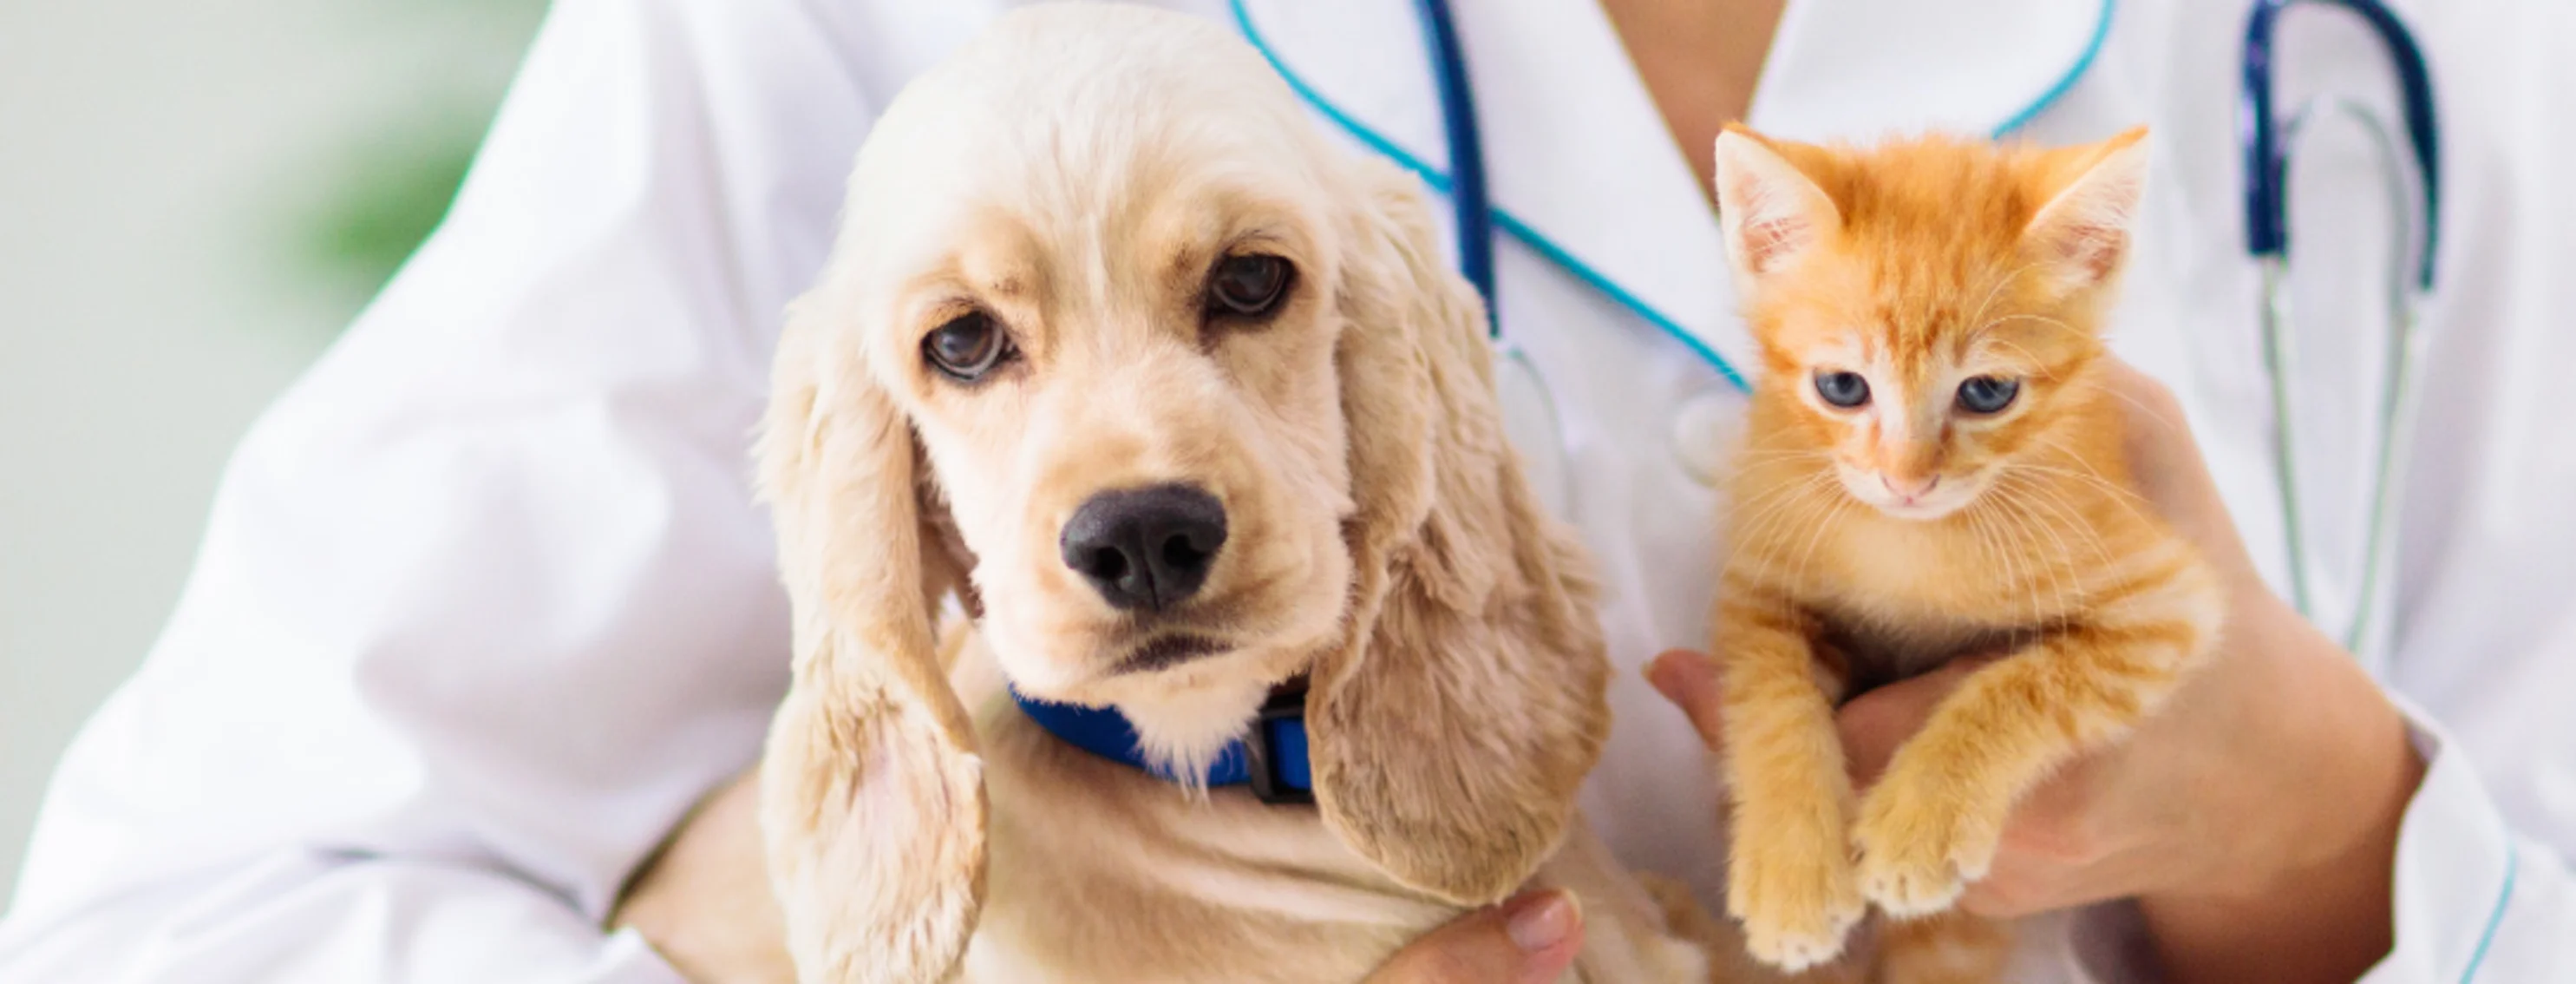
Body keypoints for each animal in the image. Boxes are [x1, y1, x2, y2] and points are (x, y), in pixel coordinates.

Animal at [1700, 122, 2226, 979]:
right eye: (1842, 386)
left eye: (1986, 393)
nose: (1907, 480)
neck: (1910, 542)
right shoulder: (1759, 583)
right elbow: (1770, 702)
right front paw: (1792, 873)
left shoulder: (2167, 603)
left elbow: (2021, 687)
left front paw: (1925, 822)